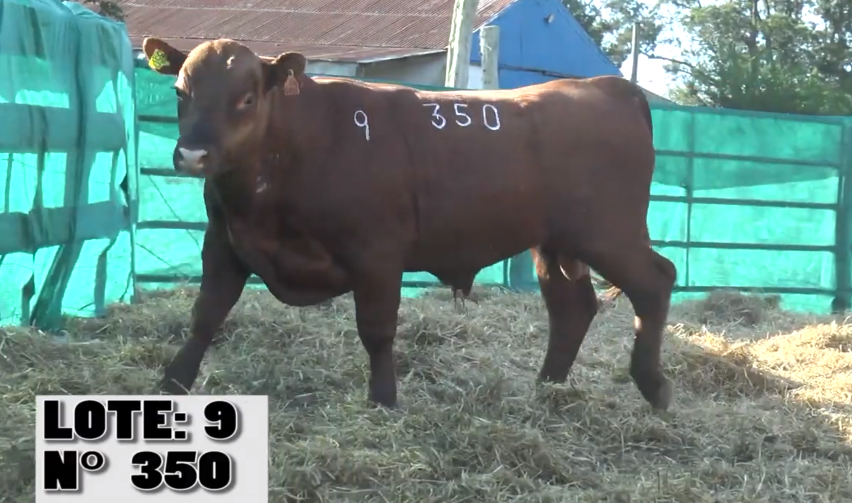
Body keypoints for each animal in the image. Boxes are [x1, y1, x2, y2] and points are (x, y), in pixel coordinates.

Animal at [143, 37, 676, 412]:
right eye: (180, 91)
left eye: (248, 98)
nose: (192, 155)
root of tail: (604, 85)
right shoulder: (224, 243)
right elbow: (206, 315)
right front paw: (172, 382)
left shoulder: (376, 255)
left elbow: (377, 329)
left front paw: (383, 400)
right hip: (555, 244)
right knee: (572, 308)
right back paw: (547, 387)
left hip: (610, 235)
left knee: (655, 281)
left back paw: (653, 385)